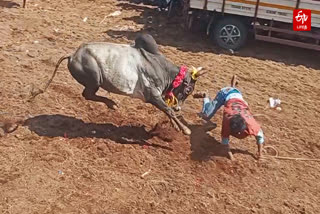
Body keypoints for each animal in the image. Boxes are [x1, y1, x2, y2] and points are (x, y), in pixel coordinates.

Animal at [30, 34, 205, 135]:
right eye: (188, 89)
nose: (179, 108)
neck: (160, 67)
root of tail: (73, 55)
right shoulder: (152, 95)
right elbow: (168, 110)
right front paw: (185, 129)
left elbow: (168, 111)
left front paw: (176, 126)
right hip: (95, 80)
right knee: (88, 95)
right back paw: (112, 104)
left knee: (88, 95)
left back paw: (112, 104)